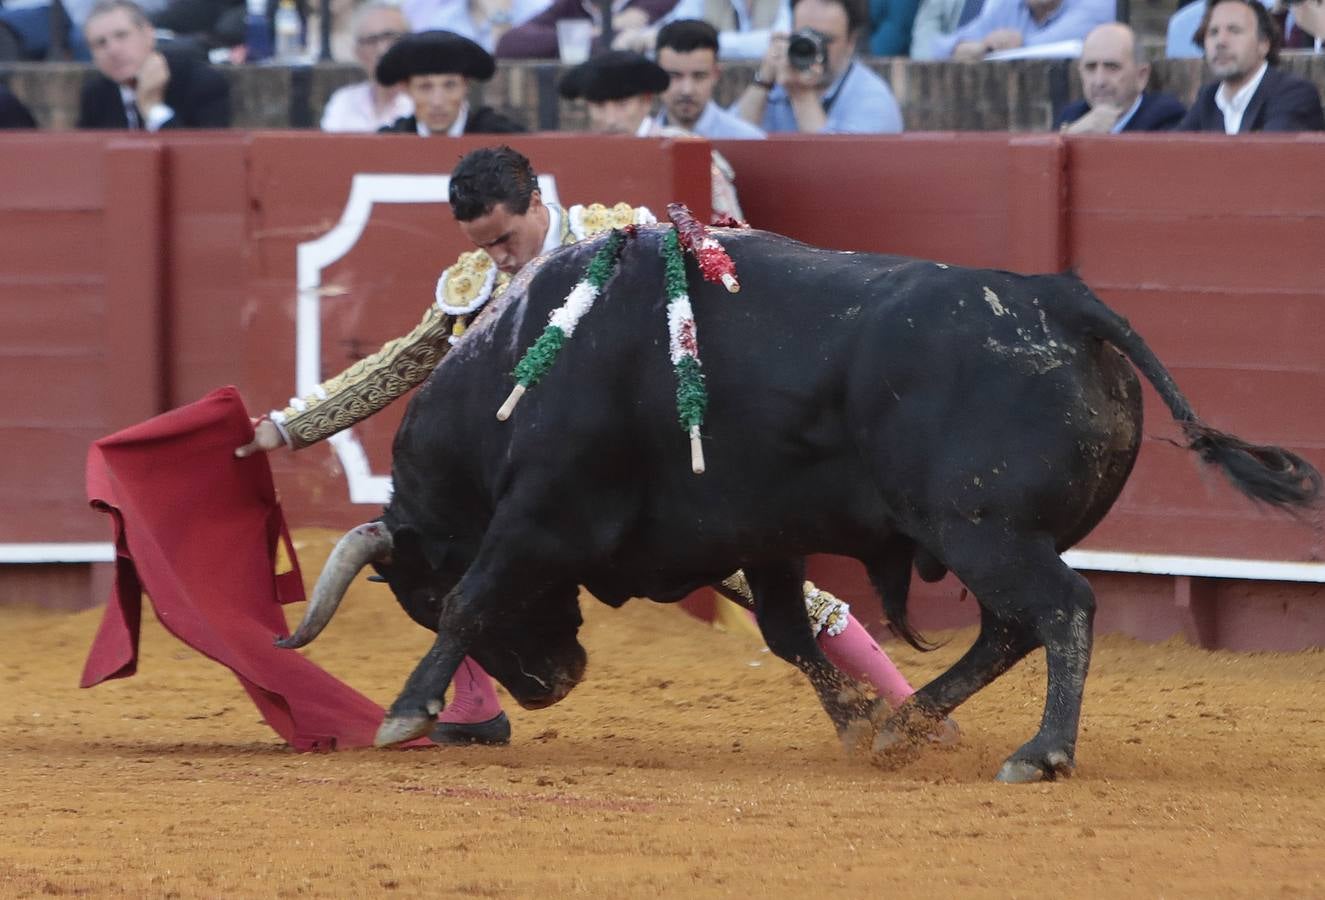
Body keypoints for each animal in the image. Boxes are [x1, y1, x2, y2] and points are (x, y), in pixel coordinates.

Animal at [276, 229, 1314, 784]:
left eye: (415, 595)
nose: (548, 685)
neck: (525, 365)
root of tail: (1062, 300)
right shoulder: (758, 532)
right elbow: (787, 632)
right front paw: (855, 722)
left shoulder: (537, 520)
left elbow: (476, 596)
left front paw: (404, 712)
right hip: (982, 538)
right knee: (1012, 627)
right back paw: (906, 724)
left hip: (982, 531)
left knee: (1061, 609)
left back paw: (1040, 753)